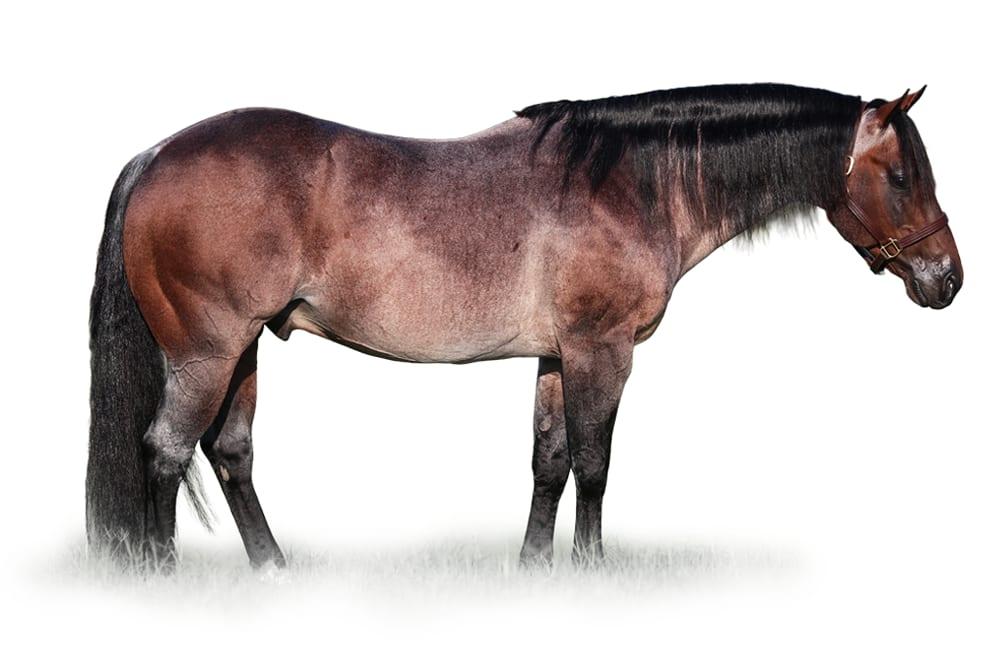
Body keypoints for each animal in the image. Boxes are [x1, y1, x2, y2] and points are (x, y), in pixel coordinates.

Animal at [87, 83, 962, 569]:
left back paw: (273, 568)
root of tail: (155, 155)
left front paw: (537, 566)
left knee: (228, 452)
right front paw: (591, 566)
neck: (627, 182)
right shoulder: (602, 350)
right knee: (164, 450)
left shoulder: (555, 354)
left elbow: (550, 461)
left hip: (243, 350)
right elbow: (596, 462)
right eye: (900, 173)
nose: (948, 279)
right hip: (206, 352)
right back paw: (165, 578)